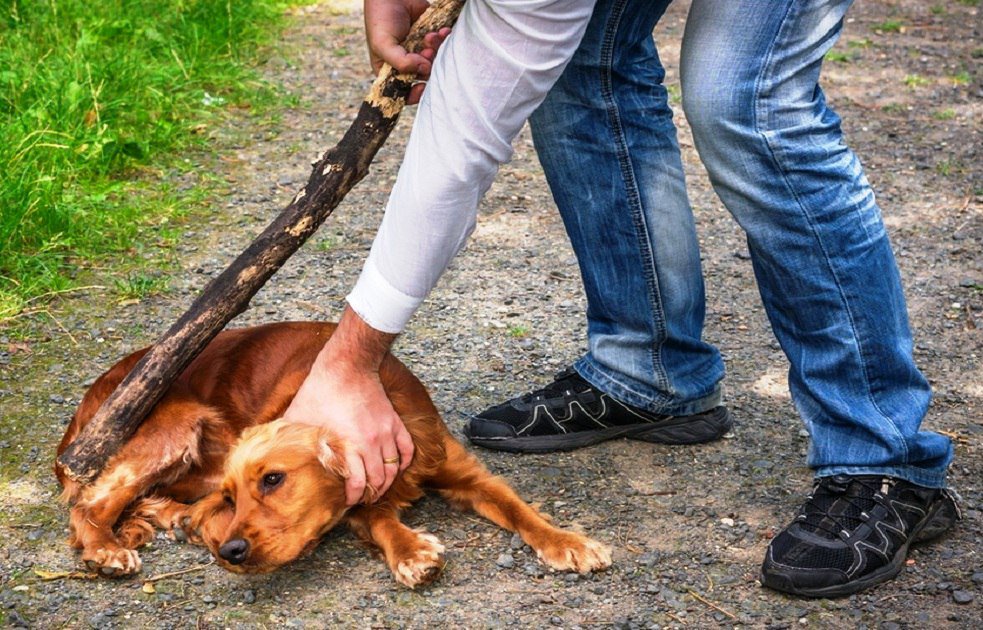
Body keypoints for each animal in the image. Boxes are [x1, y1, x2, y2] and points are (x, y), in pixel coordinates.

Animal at [55, 324, 616, 592]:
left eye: (273, 480)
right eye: (235, 496)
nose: (230, 552)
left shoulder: (464, 472)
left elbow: (521, 511)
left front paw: (569, 543)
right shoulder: (358, 502)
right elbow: (383, 522)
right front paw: (412, 553)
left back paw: (170, 521)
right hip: (176, 427)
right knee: (88, 504)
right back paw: (107, 549)